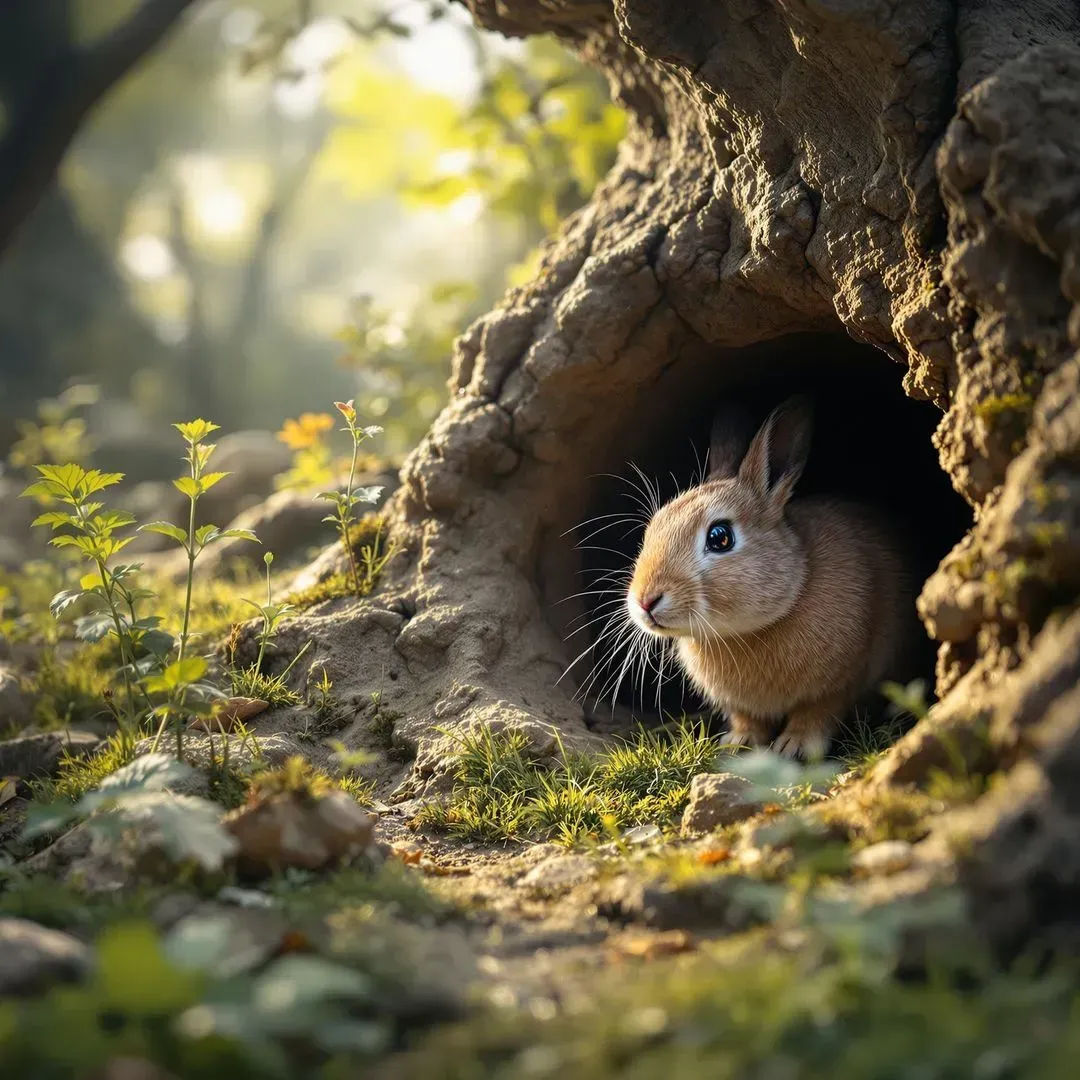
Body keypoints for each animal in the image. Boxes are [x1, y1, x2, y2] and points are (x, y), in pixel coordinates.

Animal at [625, 394, 917, 760]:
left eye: (720, 537)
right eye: (654, 526)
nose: (644, 600)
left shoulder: (841, 681)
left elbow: (817, 713)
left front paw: (794, 747)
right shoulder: (742, 706)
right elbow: (748, 719)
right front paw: (738, 743)